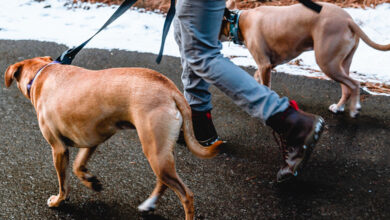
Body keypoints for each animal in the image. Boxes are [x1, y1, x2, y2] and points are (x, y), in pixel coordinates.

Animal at [4, 56, 222, 218]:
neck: (41, 73)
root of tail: (171, 90)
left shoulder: (58, 149)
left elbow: (63, 183)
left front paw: (59, 201)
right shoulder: (92, 138)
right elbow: (77, 166)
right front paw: (91, 181)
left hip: (155, 152)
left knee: (186, 195)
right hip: (161, 153)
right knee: (164, 182)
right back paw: (148, 205)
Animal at [222, 2, 390, 118]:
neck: (239, 21)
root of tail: (348, 20)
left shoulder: (264, 64)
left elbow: (265, 83)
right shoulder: (269, 64)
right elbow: (258, 77)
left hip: (327, 63)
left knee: (354, 84)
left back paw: (354, 110)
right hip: (341, 64)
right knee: (346, 87)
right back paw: (338, 108)